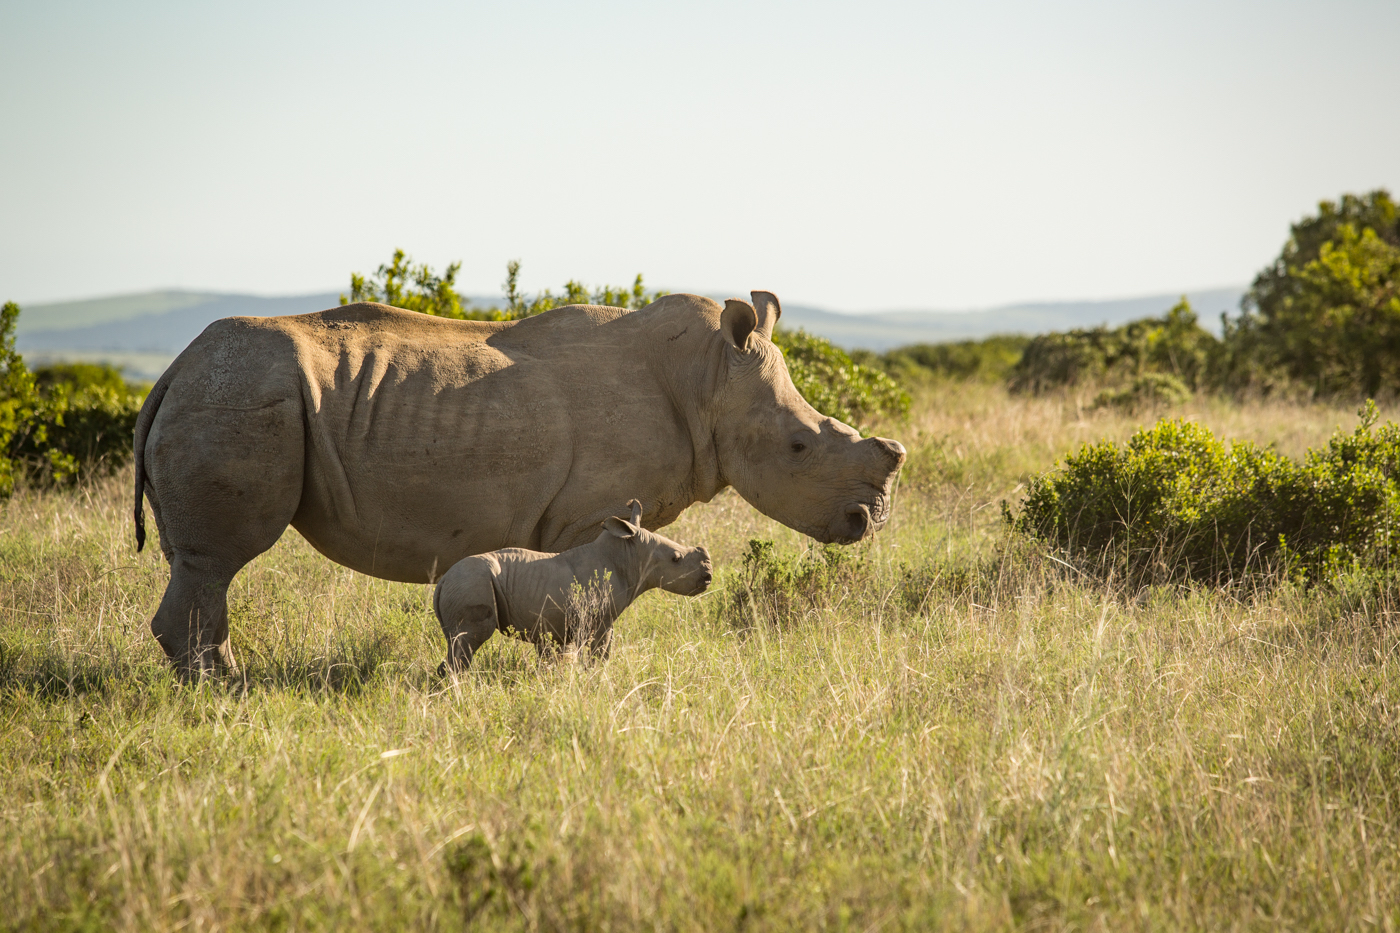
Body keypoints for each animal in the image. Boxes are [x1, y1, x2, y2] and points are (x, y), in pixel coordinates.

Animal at [434, 501, 711, 669]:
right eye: (676, 559)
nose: (708, 577)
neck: (628, 554)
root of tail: (442, 582)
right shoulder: (594, 618)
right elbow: (597, 652)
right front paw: (593, 676)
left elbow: (601, 651)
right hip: (471, 583)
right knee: (469, 640)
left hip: (464, 584)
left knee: (456, 643)